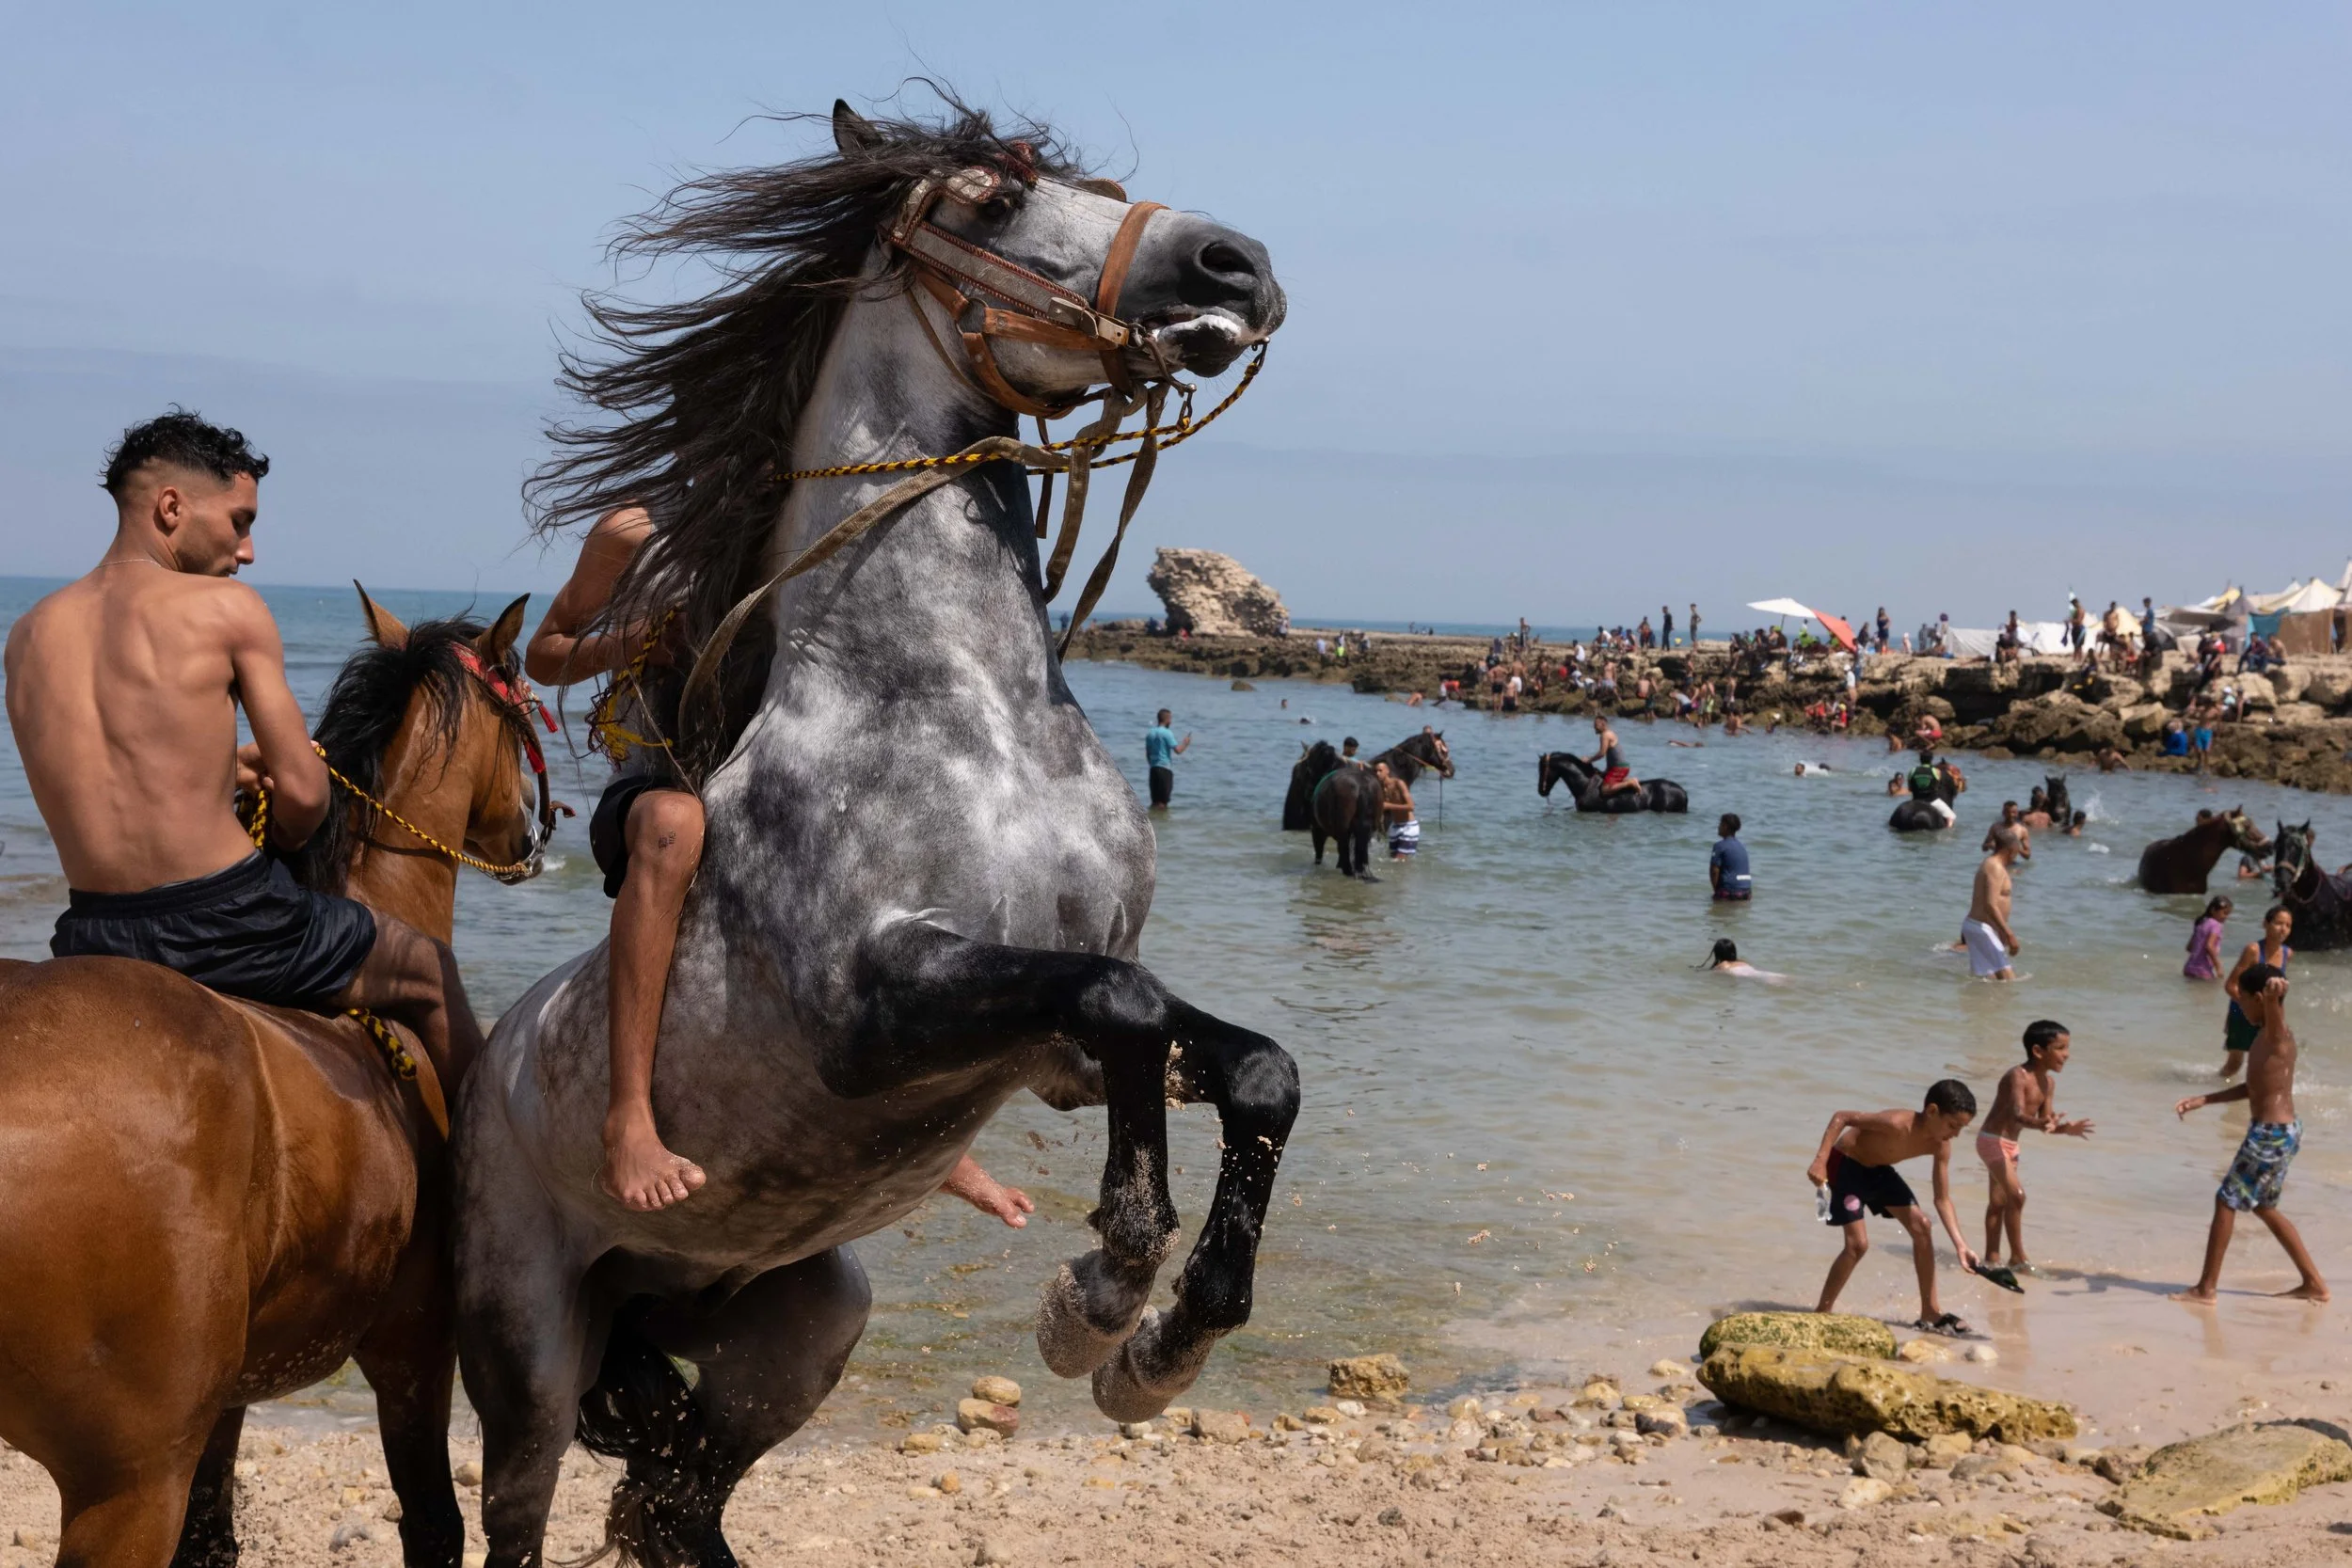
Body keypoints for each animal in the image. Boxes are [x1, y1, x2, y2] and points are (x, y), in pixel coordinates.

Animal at [0, 590, 547, 1568]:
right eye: (521, 713)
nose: (529, 826)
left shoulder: (227, 1398)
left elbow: (213, 1537)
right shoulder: (413, 1347)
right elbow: (433, 1523)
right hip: (126, 1482)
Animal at [450, 99, 1297, 1568]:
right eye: (989, 202)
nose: (1233, 264)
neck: (971, 713)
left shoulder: (1046, 1051)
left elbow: (1254, 1069)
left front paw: (1163, 1347)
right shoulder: (877, 1005)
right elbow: (1129, 1001)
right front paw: (1101, 1292)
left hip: (791, 1325)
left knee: (681, 1496)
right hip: (531, 1354)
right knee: (523, 1512)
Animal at [1285, 740, 1384, 876]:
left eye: (1298, 770)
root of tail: (1362, 787)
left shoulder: (1317, 830)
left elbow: (1319, 855)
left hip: (1342, 833)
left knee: (1346, 861)